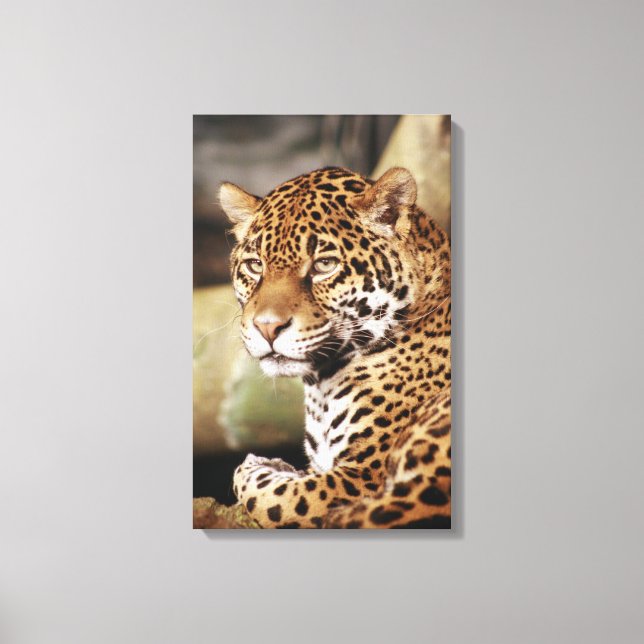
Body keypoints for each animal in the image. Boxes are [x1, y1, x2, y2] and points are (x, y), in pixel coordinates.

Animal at [218, 166, 451, 528]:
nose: (267, 327)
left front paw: (261, 465)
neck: (321, 384)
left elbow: (278, 498)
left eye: (324, 265)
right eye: (255, 265)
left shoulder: (360, 479)